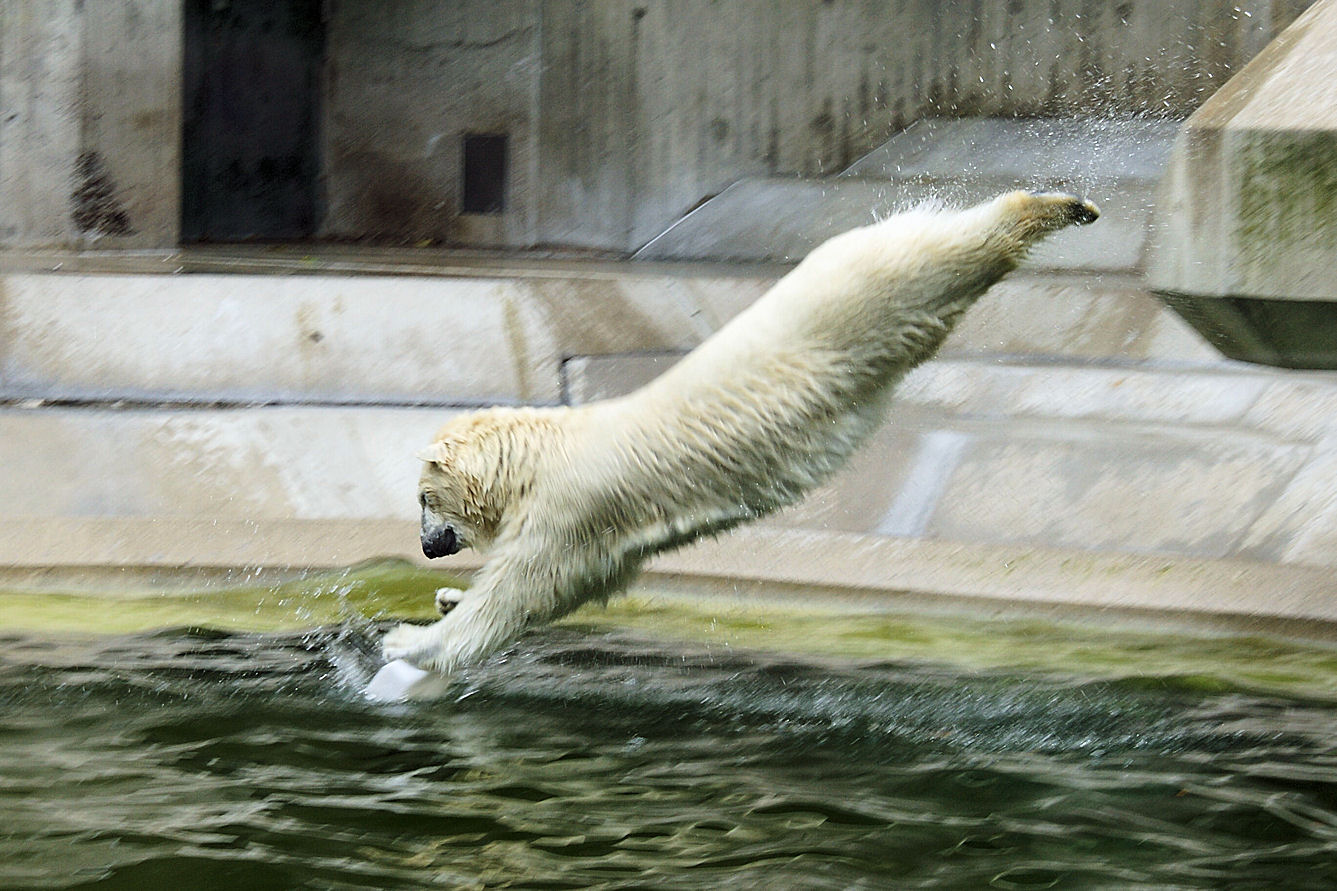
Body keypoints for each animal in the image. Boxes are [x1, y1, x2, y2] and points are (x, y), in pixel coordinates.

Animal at [385, 191, 1096, 668]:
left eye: (422, 498)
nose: (426, 549)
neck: (541, 454)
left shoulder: (572, 507)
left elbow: (523, 588)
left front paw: (409, 639)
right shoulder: (605, 536)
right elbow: (575, 590)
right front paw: (445, 599)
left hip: (866, 296)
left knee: (961, 253)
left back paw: (1063, 206)